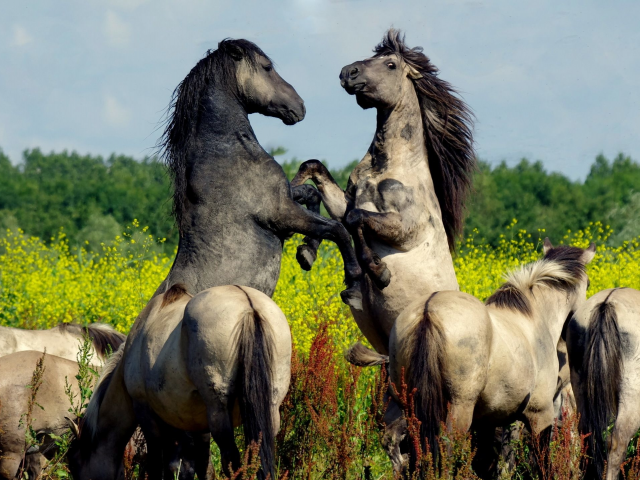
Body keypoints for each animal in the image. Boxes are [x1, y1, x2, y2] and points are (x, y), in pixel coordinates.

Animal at [67, 284, 290, 480]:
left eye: (76, 465)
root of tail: (248, 304)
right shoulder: (197, 426)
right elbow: (200, 467)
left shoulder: (146, 412)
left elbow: (158, 465)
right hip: (268, 414)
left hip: (219, 414)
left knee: (231, 463)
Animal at [384, 242, 596, 474]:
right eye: (588, 284)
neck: (534, 317)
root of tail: (428, 310)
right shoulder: (540, 413)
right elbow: (541, 461)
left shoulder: (488, 420)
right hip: (458, 410)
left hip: (411, 408)